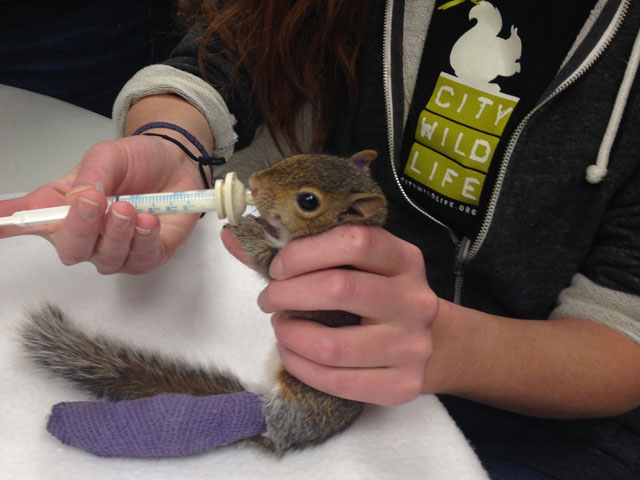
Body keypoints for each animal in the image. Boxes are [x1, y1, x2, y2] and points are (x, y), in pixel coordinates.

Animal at [21, 150, 387, 455]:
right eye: (303, 156)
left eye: (308, 201)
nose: (254, 183)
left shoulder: (281, 266)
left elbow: (263, 256)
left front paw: (243, 225)